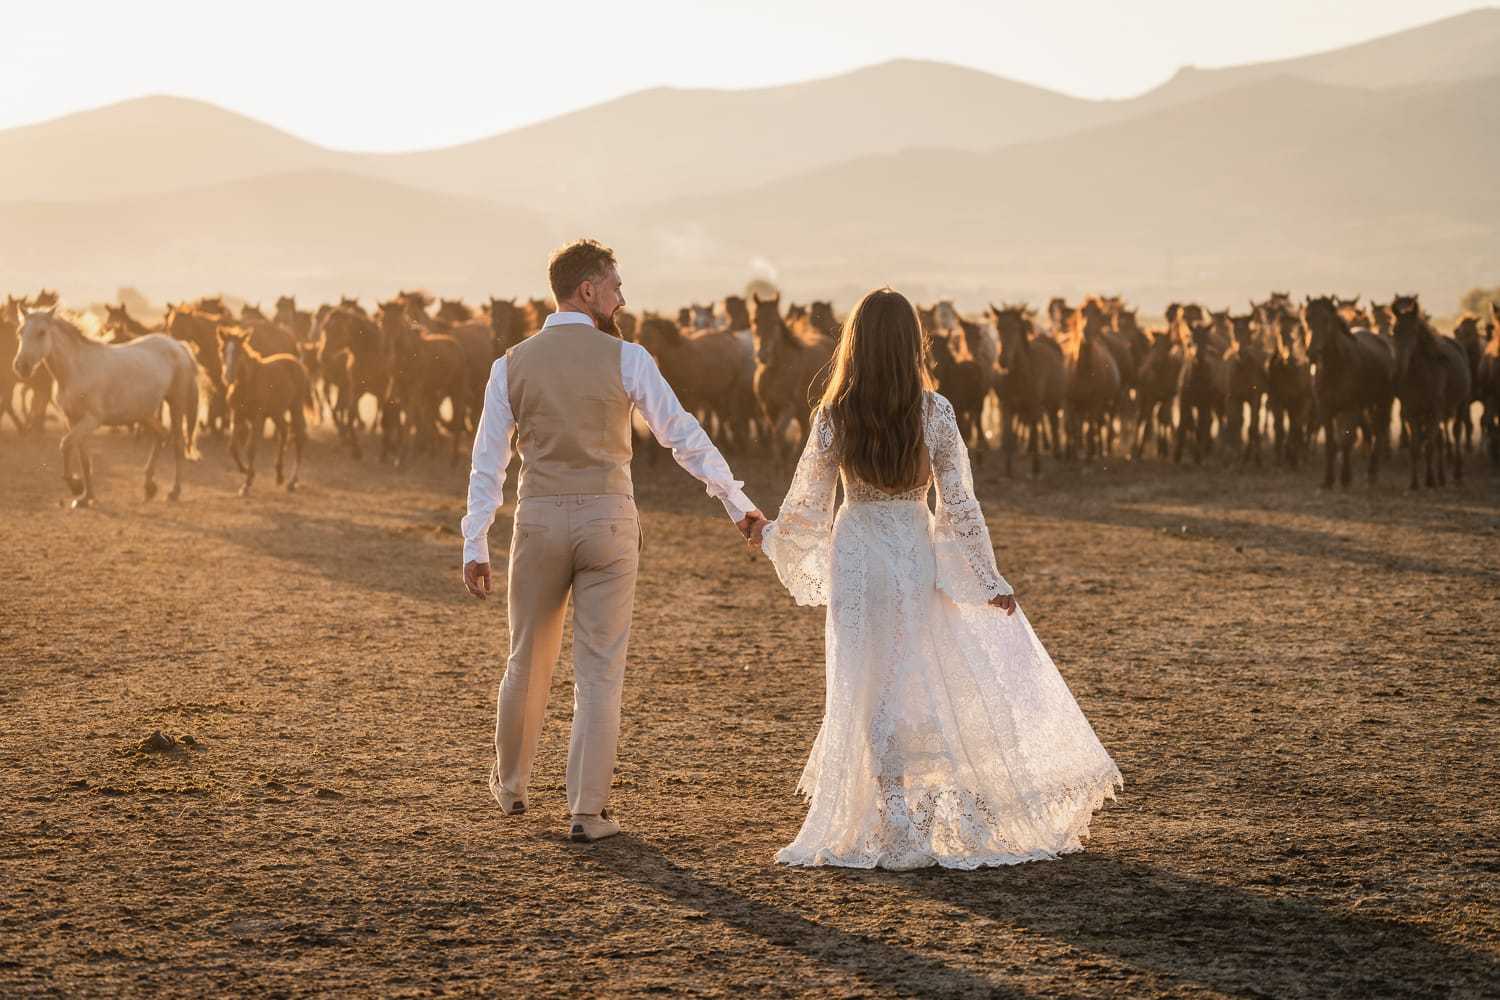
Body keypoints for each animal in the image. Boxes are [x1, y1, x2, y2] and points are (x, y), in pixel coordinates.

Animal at [11, 307, 201, 509]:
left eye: (42, 332)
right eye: (20, 332)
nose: (21, 366)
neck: (77, 370)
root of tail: (178, 346)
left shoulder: (92, 420)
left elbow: (66, 444)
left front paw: (76, 487)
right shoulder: (73, 420)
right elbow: (84, 459)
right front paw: (85, 498)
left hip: (176, 404)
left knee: (178, 444)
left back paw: (174, 492)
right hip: (143, 413)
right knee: (162, 435)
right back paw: (149, 487)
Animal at [217, 328, 316, 497]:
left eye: (239, 351)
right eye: (222, 350)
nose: (227, 377)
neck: (247, 382)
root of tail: (299, 364)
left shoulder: (258, 417)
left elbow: (250, 448)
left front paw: (246, 484)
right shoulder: (238, 415)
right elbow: (232, 448)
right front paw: (246, 472)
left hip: (295, 407)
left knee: (300, 437)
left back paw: (292, 482)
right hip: (276, 412)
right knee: (284, 431)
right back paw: (279, 475)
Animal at [747, 293, 834, 464]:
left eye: (775, 321)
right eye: (755, 320)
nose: (762, 355)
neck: (775, 369)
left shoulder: (788, 407)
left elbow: (778, 432)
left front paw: (779, 461)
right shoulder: (768, 407)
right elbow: (773, 431)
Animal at [1308, 293, 1398, 488]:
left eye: (1327, 320)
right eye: (1307, 318)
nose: (1311, 353)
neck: (1335, 368)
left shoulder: (1350, 408)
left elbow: (1346, 440)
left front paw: (1345, 478)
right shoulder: (1326, 410)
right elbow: (1331, 443)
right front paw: (1328, 479)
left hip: (1383, 401)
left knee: (1380, 430)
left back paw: (1372, 472)